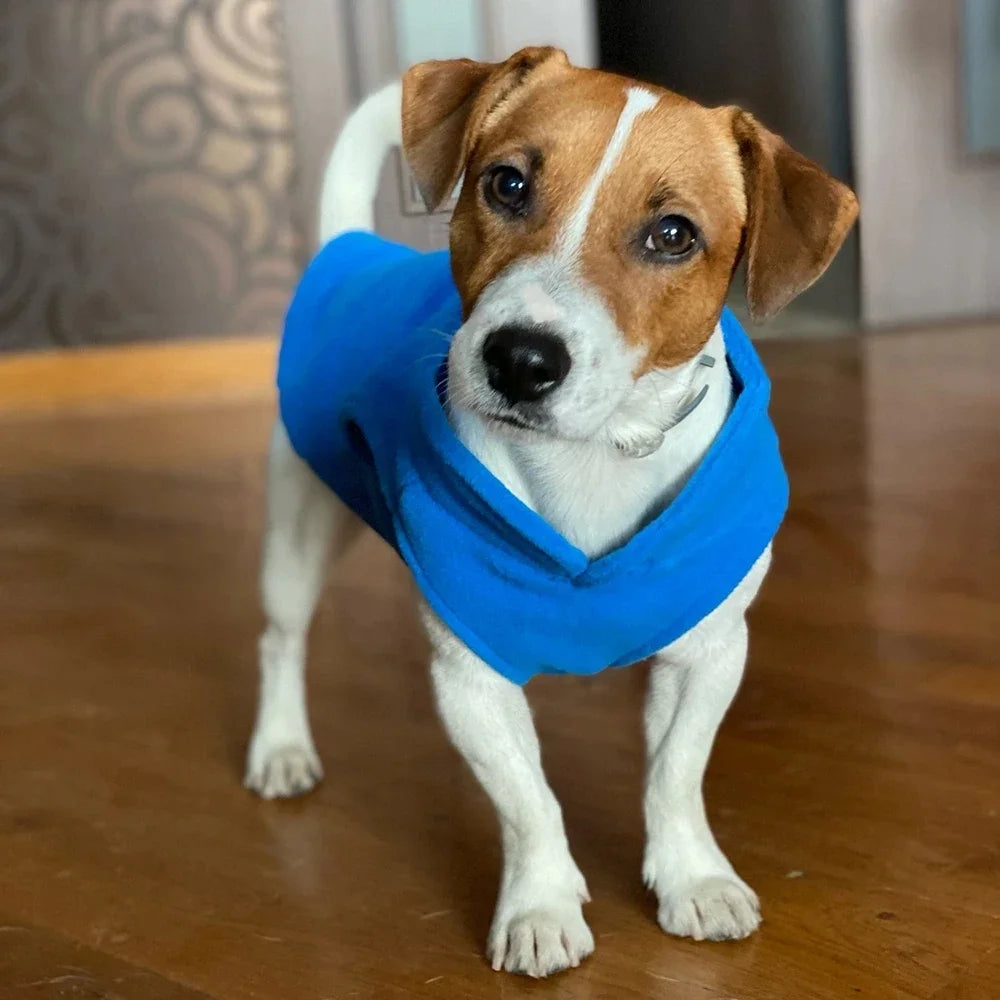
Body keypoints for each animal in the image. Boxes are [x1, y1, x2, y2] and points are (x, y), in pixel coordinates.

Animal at [244, 47, 860, 976]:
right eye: (506, 184)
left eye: (673, 234)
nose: (520, 360)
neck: (593, 455)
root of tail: (349, 247)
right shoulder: (471, 676)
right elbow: (528, 801)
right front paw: (539, 904)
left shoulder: (710, 655)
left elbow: (675, 772)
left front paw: (692, 877)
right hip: (299, 527)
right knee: (281, 640)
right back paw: (281, 746)